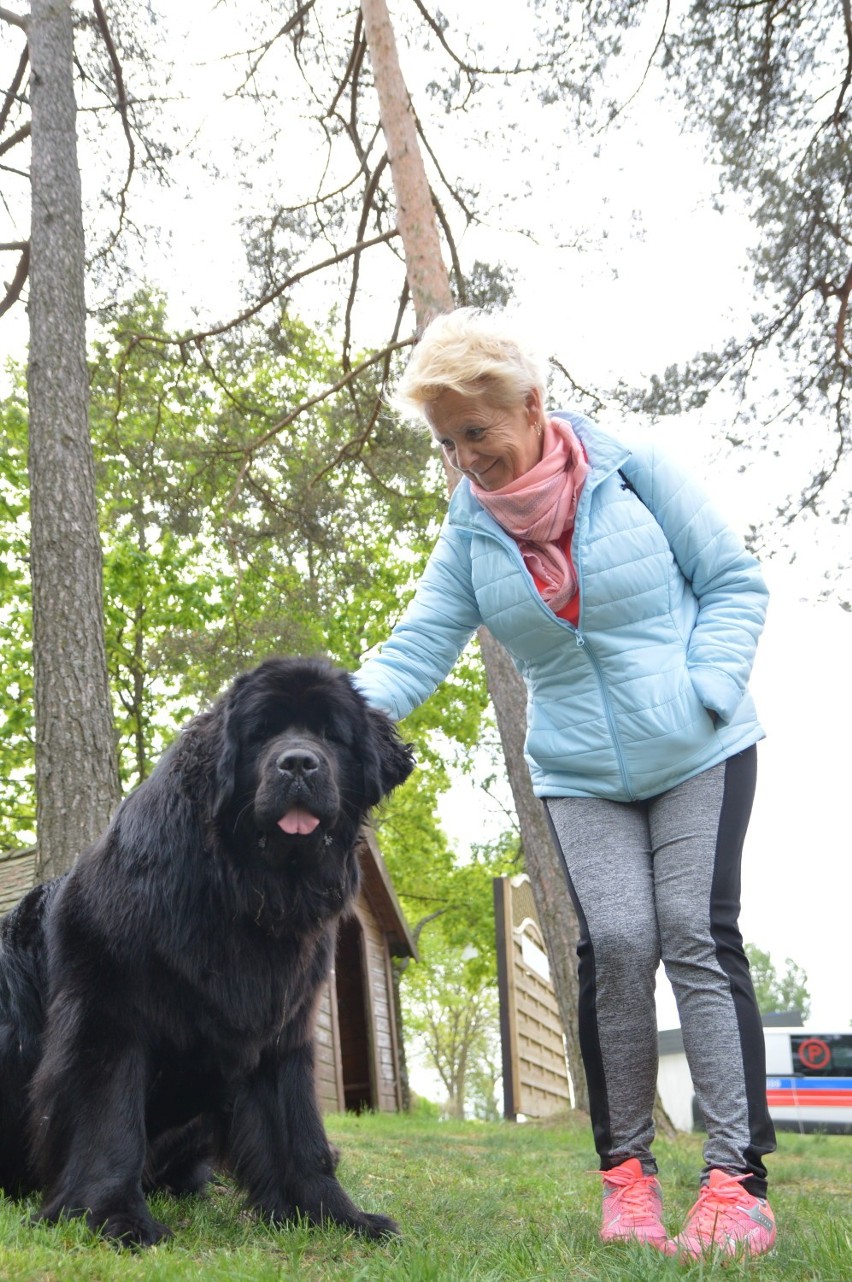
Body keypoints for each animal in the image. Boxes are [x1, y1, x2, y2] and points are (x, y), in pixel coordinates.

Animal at [0, 661, 412, 1240]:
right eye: (261, 734)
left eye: (331, 735)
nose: (299, 762)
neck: (242, 890)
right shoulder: (104, 1014)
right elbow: (109, 1119)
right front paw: (113, 1216)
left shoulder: (281, 1030)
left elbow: (298, 1133)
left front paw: (335, 1216)